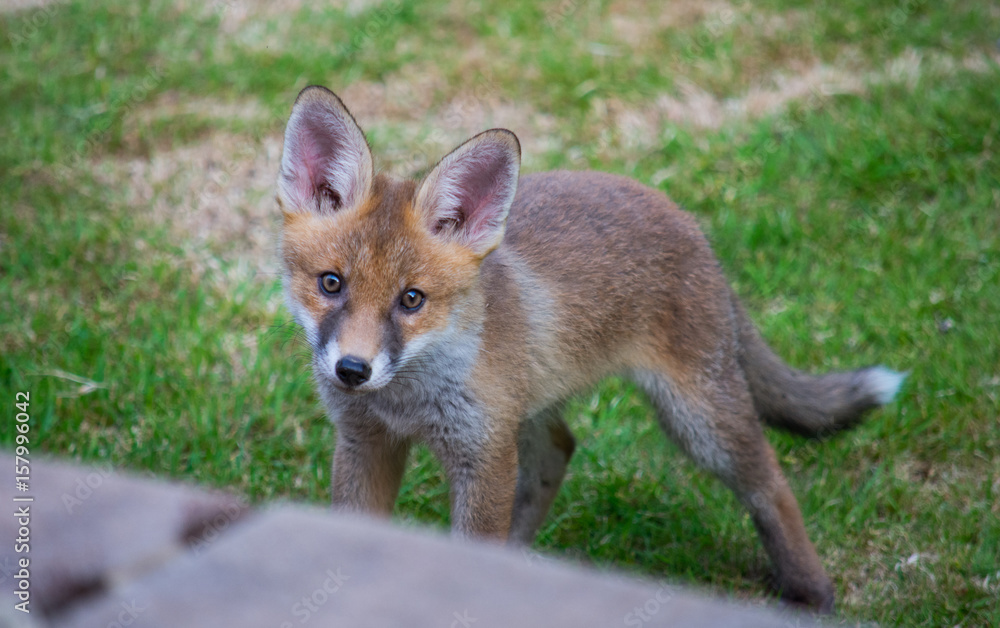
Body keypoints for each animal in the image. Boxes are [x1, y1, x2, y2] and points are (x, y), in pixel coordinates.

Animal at [275, 85, 905, 613]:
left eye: (411, 300)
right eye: (331, 284)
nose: (352, 370)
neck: (405, 401)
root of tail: (687, 220)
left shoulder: (482, 454)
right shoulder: (366, 441)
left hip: (697, 419)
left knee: (769, 479)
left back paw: (811, 591)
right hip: (531, 410)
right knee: (560, 448)